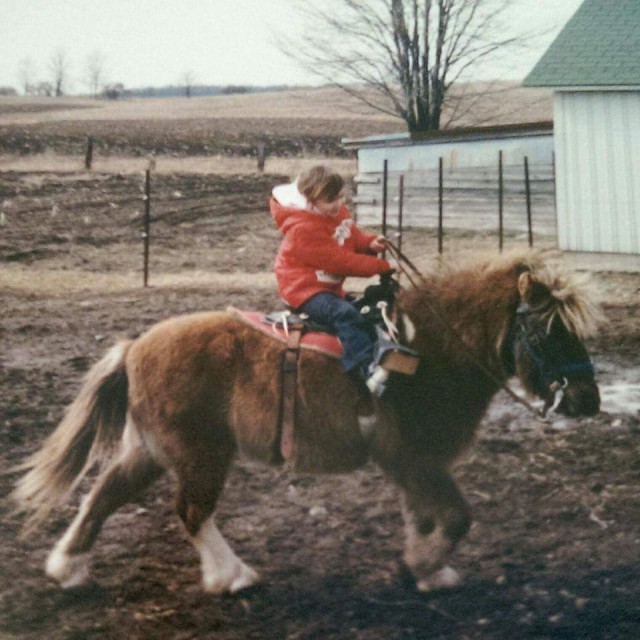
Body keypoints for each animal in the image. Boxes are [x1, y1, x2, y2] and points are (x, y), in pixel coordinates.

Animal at [10, 250, 604, 596]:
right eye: (550, 331)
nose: (588, 401)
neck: (434, 349)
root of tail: (136, 347)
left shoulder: (411, 465)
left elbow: (424, 515)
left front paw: (424, 568)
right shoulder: (414, 457)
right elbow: (457, 518)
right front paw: (425, 565)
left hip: (151, 451)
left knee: (104, 494)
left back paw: (66, 567)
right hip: (201, 456)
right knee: (191, 511)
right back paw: (231, 577)